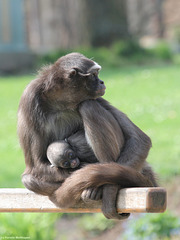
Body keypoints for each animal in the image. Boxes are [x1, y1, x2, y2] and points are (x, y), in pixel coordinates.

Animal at [17, 52, 158, 219]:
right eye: (94, 75)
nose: (102, 82)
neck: (61, 102)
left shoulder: (93, 96)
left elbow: (140, 139)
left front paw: (108, 191)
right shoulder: (30, 98)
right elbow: (35, 167)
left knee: (88, 106)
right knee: (29, 179)